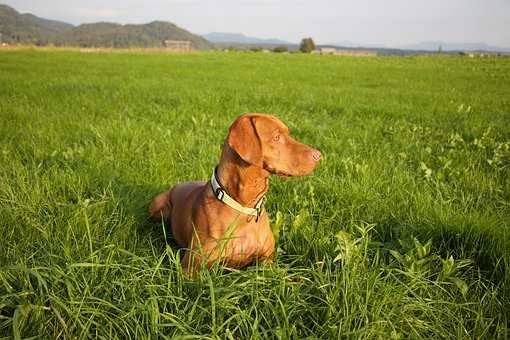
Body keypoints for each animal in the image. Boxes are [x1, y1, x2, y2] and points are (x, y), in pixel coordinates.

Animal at [149, 113, 320, 274]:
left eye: (288, 134)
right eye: (276, 137)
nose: (318, 155)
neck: (245, 207)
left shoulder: (268, 260)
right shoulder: (190, 268)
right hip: (158, 208)